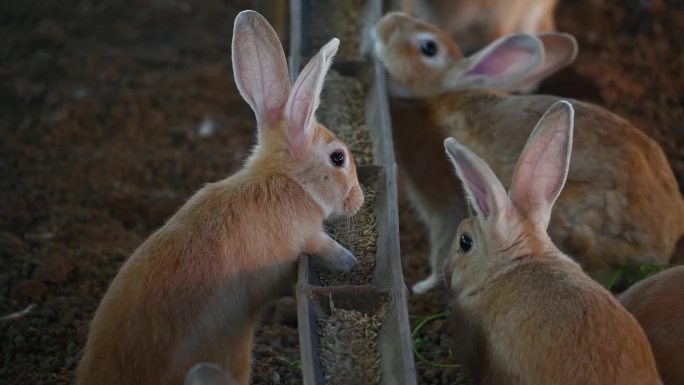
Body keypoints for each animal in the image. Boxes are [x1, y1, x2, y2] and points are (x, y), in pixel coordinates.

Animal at [76, 9, 364, 384]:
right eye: (338, 158)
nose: (359, 200)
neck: (288, 181)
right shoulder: (305, 237)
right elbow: (323, 246)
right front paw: (349, 261)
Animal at [372, 12, 684, 294]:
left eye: (428, 48)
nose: (384, 22)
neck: (438, 97)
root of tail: (666, 236)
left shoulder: (442, 199)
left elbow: (441, 241)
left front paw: (421, 287)